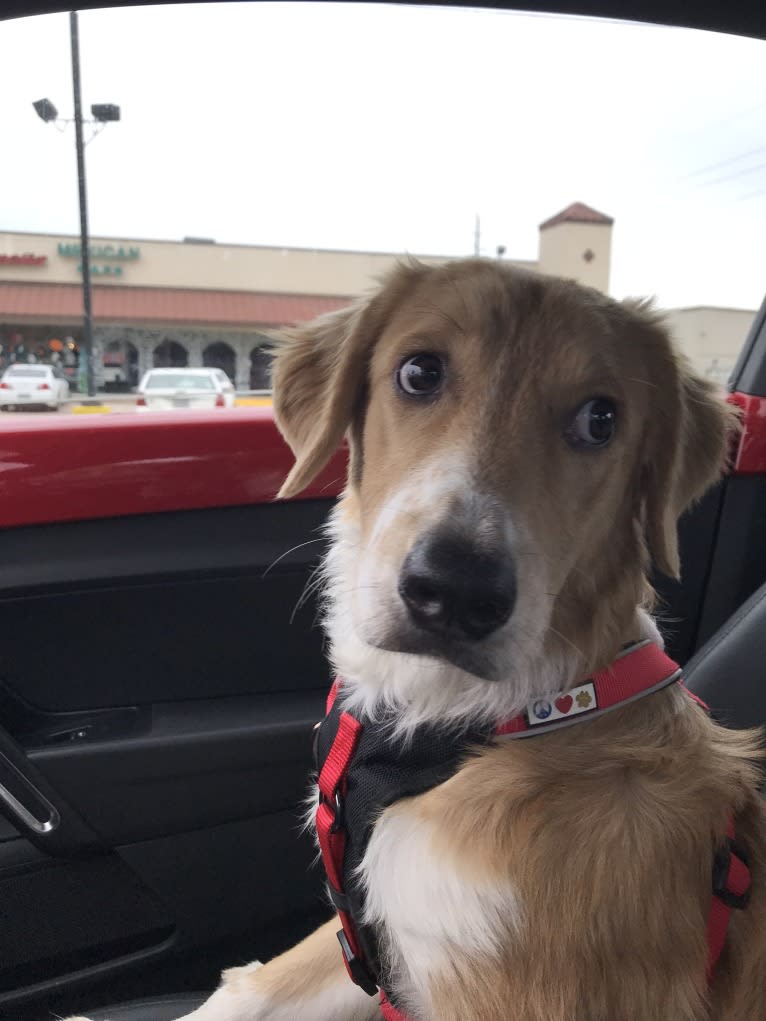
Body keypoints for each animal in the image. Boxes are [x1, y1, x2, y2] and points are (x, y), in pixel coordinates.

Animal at [67, 261, 766, 1021]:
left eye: (600, 419)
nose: (456, 591)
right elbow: (254, 988)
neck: (459, 721)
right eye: (420, 371)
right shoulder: (377, 925)